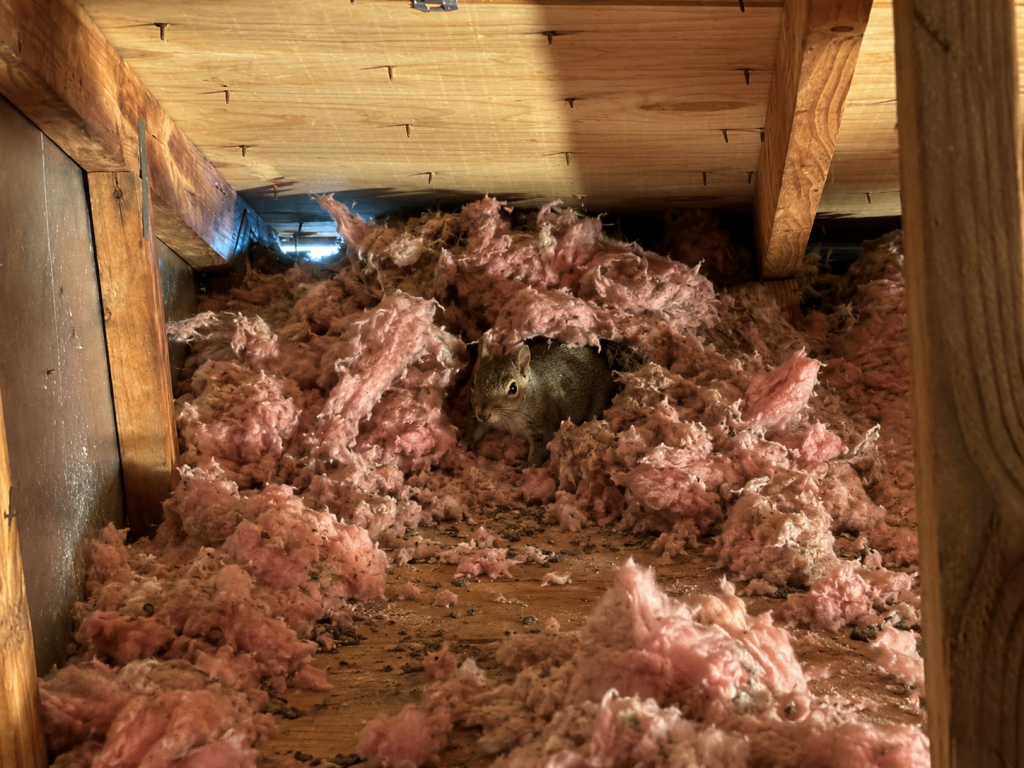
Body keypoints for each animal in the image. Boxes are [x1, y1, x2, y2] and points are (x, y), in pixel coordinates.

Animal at [467, 339, 616, 466]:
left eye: (513, 388)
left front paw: (527, 466)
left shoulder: (542, 422)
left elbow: (542, 446)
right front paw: (466, 443)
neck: (509, 417)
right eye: (473, 383)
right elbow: (475, 428)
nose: (483, 414)